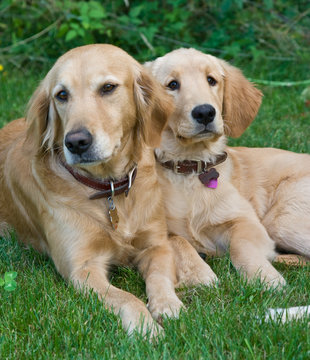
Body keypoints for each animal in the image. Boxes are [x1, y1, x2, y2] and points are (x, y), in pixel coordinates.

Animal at [0, 43, 194, 336]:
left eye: (108, 88)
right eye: (62, 94)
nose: (76, 142)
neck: (110, 187)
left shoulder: (156, 245)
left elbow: (159, 278)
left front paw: (168, 305)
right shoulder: (82, 268)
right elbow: (127, 298)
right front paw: (146, 328)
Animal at [147, 48, 310, 290]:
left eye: (211, 80)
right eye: (172, 84)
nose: (205, 112)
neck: (191, 169)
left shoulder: (247, 222)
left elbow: (241, 245)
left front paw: (265, 278)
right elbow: (177, 240)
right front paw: (199, 273)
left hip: (281, 220)